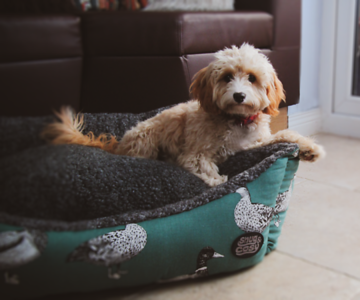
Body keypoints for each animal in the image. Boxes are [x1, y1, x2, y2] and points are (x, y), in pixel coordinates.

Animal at [43, 43, 326, 186]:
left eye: (252, 78)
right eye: (227, 77)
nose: (238, 96)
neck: (235, 120)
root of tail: (118, 145)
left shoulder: (254, 143)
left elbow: (286, 133)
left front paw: (309, 148)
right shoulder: (196, 152)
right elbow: (201, 166)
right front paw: (217, 181)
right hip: (146, 138)